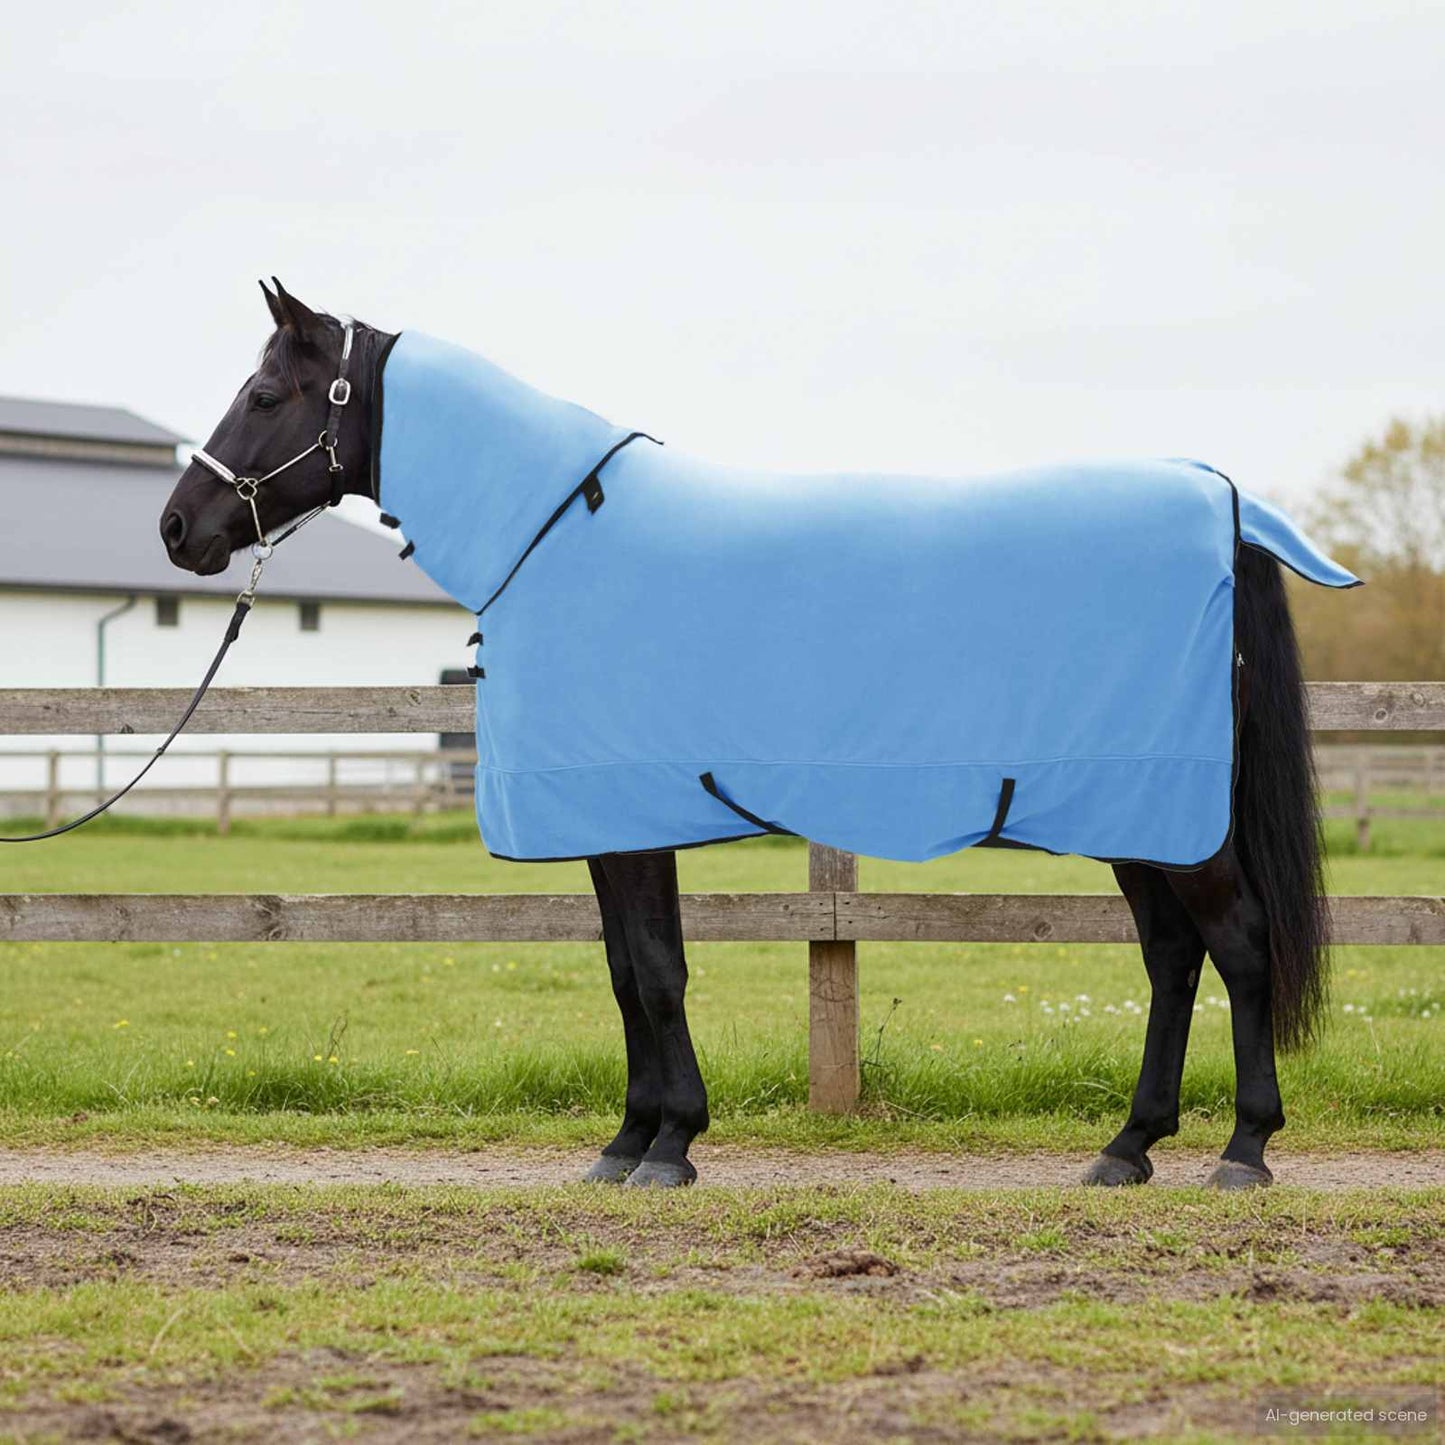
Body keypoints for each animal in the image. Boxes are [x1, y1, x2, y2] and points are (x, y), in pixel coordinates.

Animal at [159, 280, 1334, 1190]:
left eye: (264, 394)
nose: (178, 528)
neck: (556, 534)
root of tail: (1222, 505)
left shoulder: (630, 818)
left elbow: (655, 971)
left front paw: (668, 1144)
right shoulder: (612, 823)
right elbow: (626, 971)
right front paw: (628, 1139)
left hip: (1169, 810)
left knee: (1236, 944)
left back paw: (1242, 1148)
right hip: (1132, 813)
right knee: (1172, 956)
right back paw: (1127, 1147)